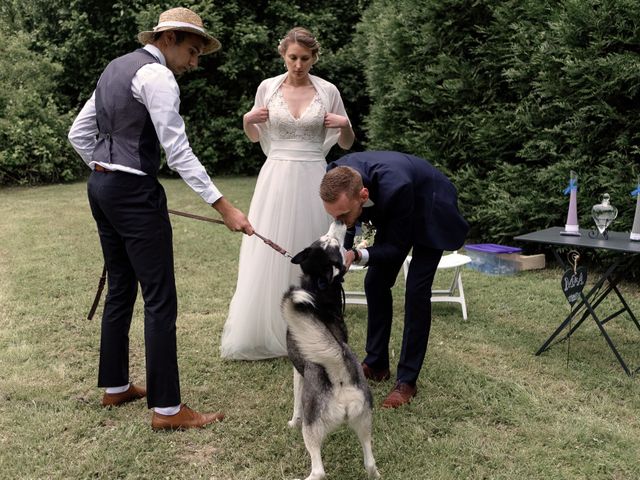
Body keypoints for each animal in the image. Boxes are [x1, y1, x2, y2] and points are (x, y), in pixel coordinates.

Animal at [282, 221, 380, 480]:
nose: (342, 222)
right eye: (325, 239)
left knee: (318, 471)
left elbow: (295, 404)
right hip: (364, 421)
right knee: (370, 462)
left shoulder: (297, 372)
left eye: (333, 243)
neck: (318, 291)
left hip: (312, 429)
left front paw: (292, 423)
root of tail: (339, 368)